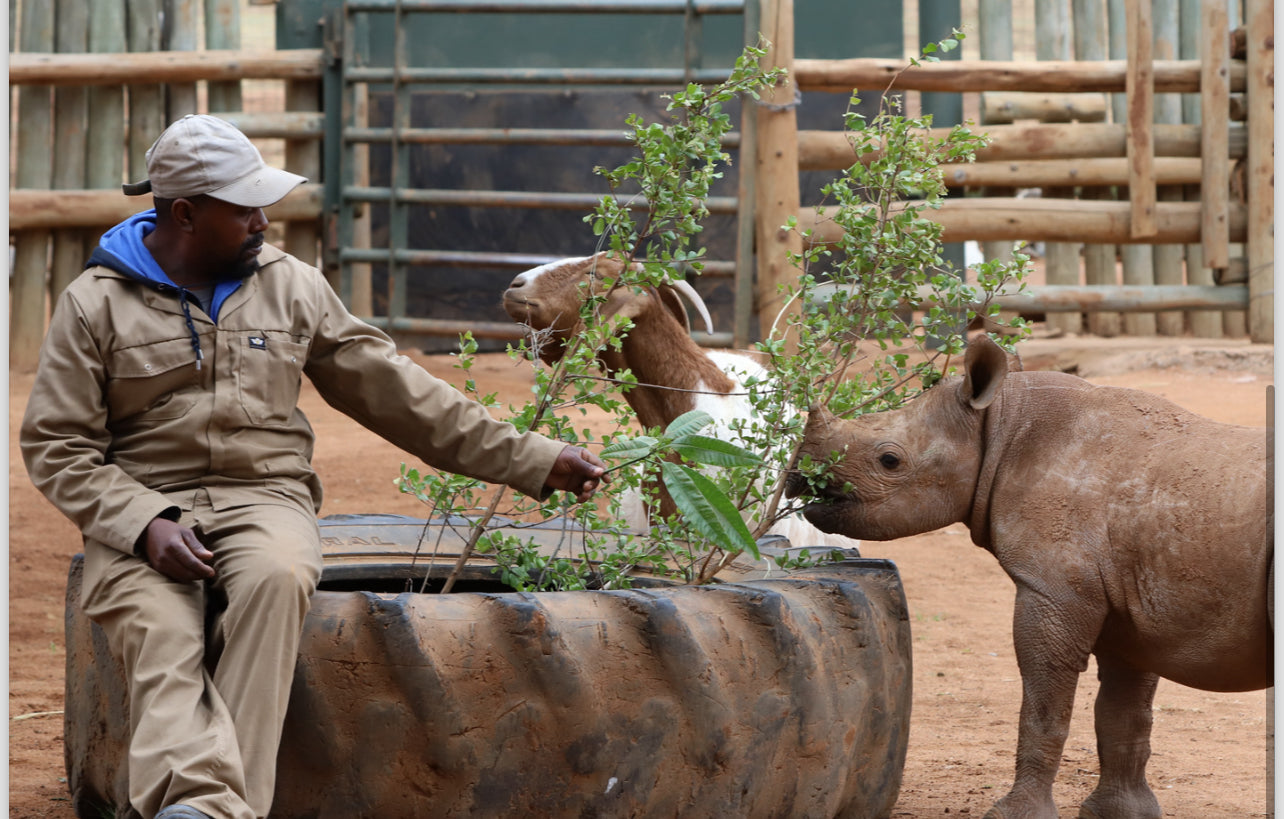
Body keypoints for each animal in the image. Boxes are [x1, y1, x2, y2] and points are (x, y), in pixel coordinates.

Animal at [787, 334, 1272, 819]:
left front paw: (1013, 813)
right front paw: (1120, 813)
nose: (799, 477)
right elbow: (1123, 714)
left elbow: (1044, 704)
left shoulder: (1054, 589)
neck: (1001, 426)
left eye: (889, 460)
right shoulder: (1129, 597)